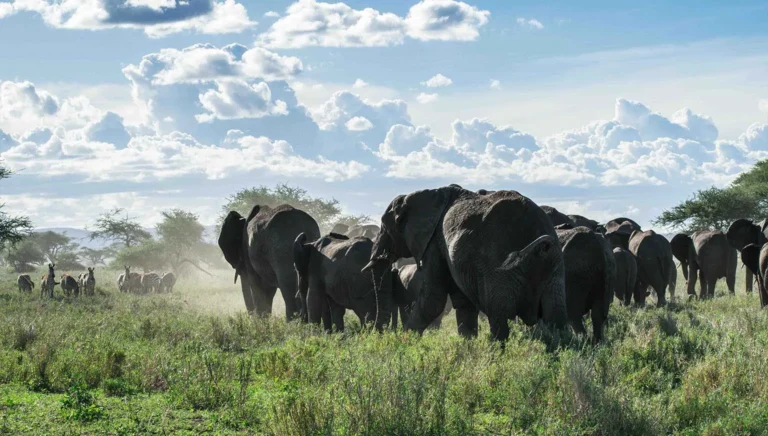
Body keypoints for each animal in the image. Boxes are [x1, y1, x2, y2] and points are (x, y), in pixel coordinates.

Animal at [363, 185, 567, 342]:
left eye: (384, 227)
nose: (374, 334)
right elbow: (463, 303)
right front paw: (467, 346)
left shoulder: (434, 243)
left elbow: (433, 300)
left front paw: (404, 343)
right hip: (553, 269)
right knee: (555, 318)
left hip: (499, 268)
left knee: (500, 317)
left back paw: (496, 356)